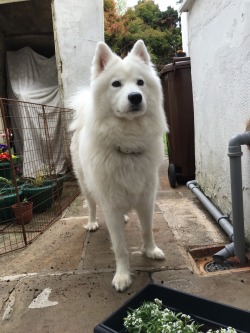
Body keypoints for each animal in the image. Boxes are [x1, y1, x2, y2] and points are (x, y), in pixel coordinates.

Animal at [69, 40, 169, 290]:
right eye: (116, 84)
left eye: (140, 83)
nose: (135, 97)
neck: (128, 145)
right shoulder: (111, 204)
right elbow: (120, 248)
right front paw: (123, 276)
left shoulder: (146, 199)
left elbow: (147, 230)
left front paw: (150, 251)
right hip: (86, 186)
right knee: (92, 206)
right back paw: (92, 223)